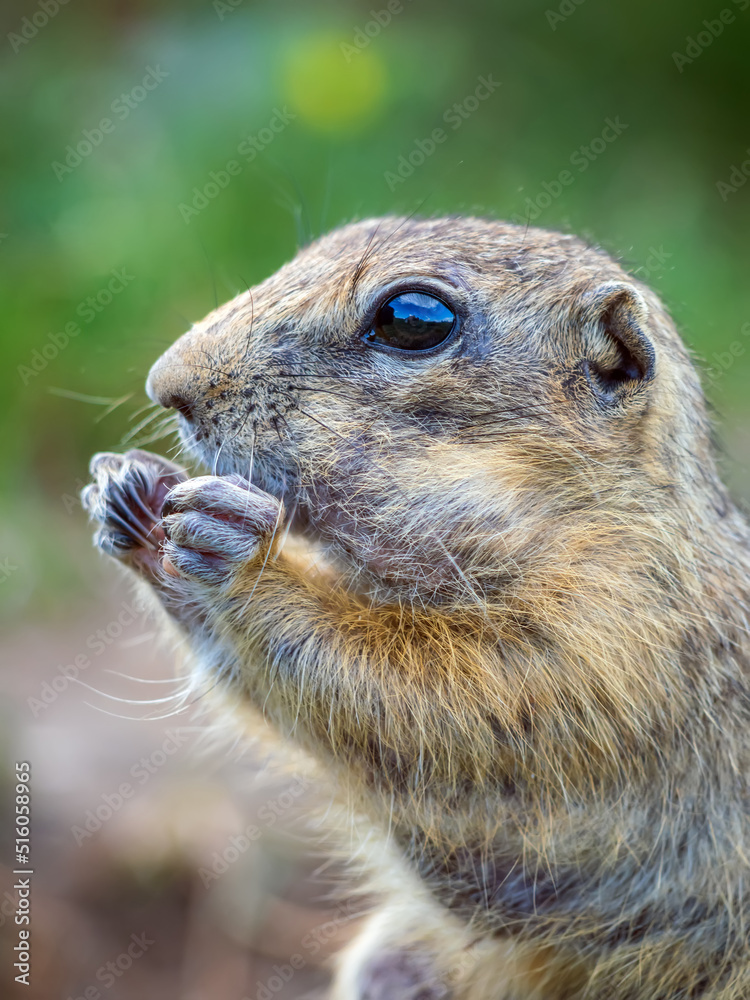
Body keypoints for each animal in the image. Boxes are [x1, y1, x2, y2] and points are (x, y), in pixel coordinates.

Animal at [81, 219, 750, 1000]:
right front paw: (133, 493)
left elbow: (415, 700)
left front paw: (241, 553)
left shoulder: (608, 639)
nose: (167, 385)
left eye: (412, 320)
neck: (589, 518)